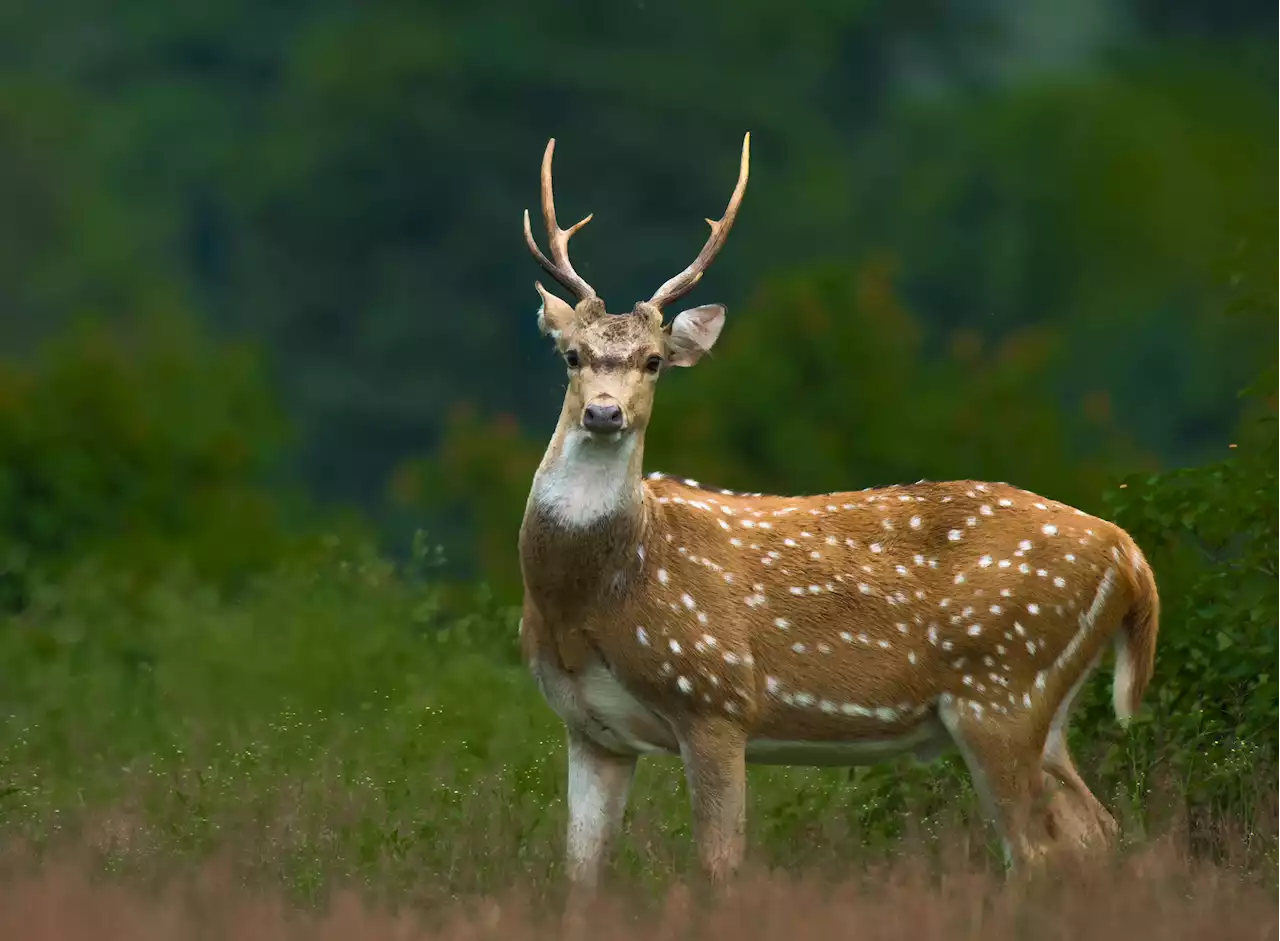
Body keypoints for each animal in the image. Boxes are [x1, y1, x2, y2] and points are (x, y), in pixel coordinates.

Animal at [517, 130, 1162, 891]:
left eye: (653, 361)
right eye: (571, 354)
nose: (604, 412)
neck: (593, 597)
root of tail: (1131, 557)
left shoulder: (716, 696)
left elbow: (718, 866)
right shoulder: (590, 729)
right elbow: (580, 879)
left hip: (1003, 687)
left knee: (1036, 850)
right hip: (1045, 707)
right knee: (1097, 832)